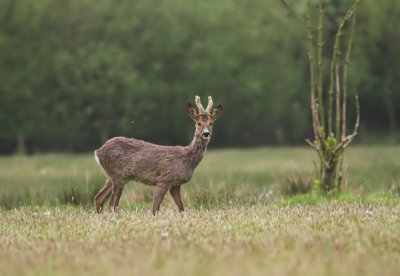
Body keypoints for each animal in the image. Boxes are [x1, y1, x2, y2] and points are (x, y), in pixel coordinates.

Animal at [95, 96, 223, 215]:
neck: (187, 159)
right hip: (118, 175)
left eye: (211, 123)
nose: (206, 134)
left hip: (115, 176)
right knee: (113, 203)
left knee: (99, 198)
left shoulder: (175, 185)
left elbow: (181, 208)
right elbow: (155, 208)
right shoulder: (164, 179)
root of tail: (98, 152)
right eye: (198, 123)